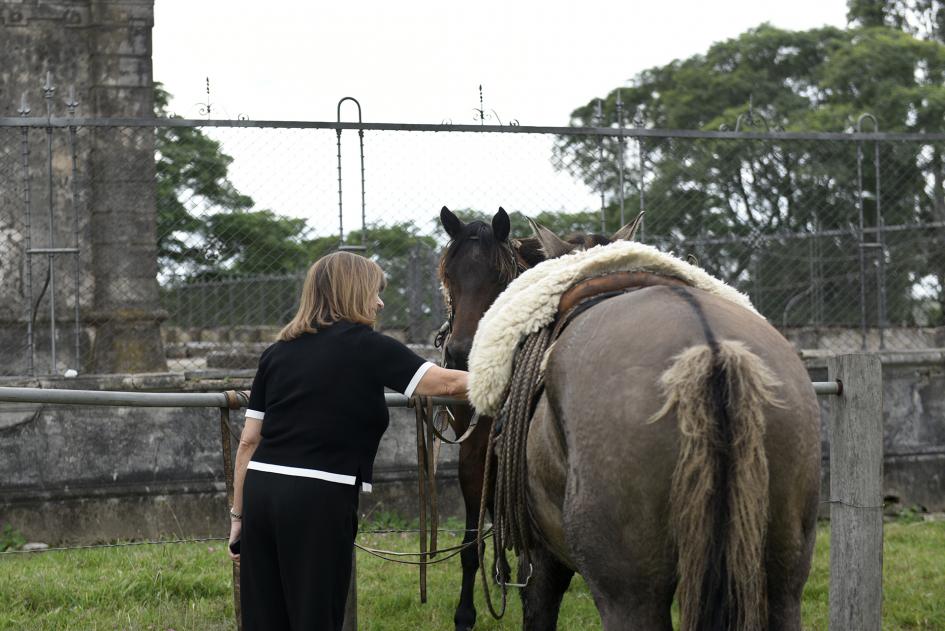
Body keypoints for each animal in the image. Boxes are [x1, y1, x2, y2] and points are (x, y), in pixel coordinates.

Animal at [436, 205, 820, 628]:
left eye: (500, 277)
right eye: (448, 275)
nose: (459, 354)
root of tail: (712, 352)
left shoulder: (539, 554)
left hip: (629, 589)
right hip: (782, 574)